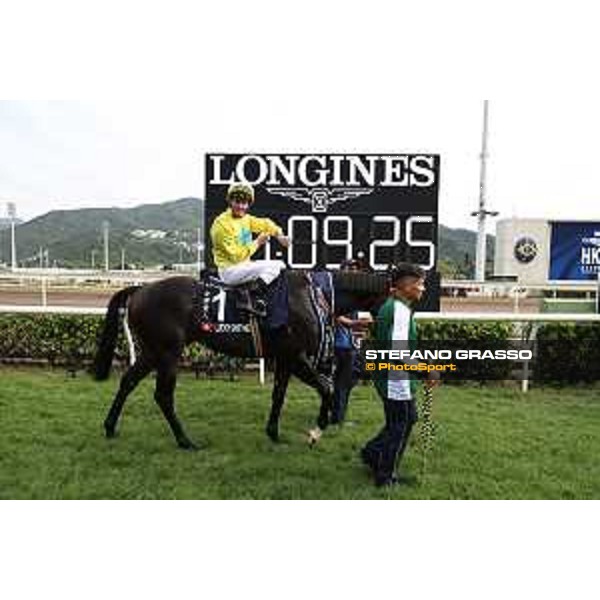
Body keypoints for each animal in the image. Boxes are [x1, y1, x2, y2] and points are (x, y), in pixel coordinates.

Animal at [91, 270, 386, 448]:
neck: (316, 295)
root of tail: (141, 289)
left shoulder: (283, 356)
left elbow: (279, 394)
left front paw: (274, 433)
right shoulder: (295, 355)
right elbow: (327, 387)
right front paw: (317, 430)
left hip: (152, 351)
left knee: (128, 381)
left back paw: (109, 427)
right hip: (168, 353)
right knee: (163, 395)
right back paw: (185, 440)